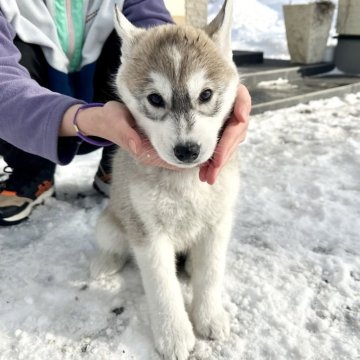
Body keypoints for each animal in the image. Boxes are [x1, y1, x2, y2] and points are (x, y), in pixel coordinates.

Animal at [93, 1, 239, 358]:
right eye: (156, 99)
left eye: (206, 95)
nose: (187, 150)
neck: (184, 182)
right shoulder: (148, 233)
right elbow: (162, 286)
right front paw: (174, 335)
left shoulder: (217, 225)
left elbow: (211, 273)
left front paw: (209, 317)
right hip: (110, 224)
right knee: (112, 244)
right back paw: (105, 263)